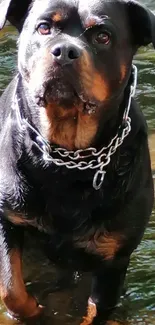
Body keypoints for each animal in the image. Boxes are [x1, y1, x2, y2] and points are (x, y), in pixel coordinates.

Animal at [0, 0, 154, 322]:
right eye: (44, 27)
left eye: (103, 36)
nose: (65, 51)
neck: (68, 159)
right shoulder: (7, 218)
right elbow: (12, 290)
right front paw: (35, 311)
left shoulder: (115, 257)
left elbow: (97, 310)